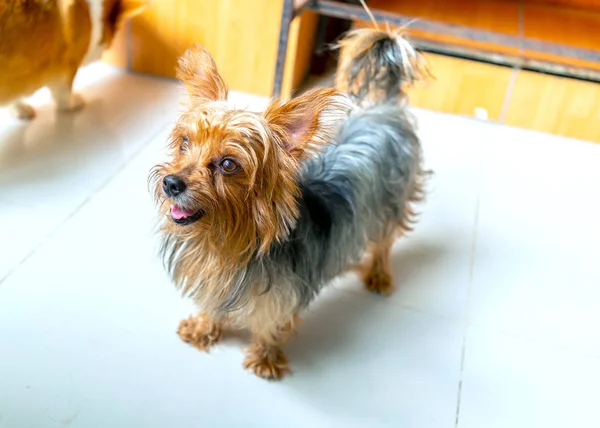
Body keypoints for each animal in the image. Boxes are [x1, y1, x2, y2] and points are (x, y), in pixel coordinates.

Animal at [151, 28, 426, 380]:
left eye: (228, 164)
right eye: (185, 143)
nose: (171, 183)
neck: (222, 244)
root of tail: (385, 108)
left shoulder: (282, 298)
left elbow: (270, 325)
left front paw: (264, 359)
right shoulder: (214, 280)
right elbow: (212, 304)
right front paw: (203, 328)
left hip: (391, 204)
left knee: (384, 243)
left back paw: (378, 274)